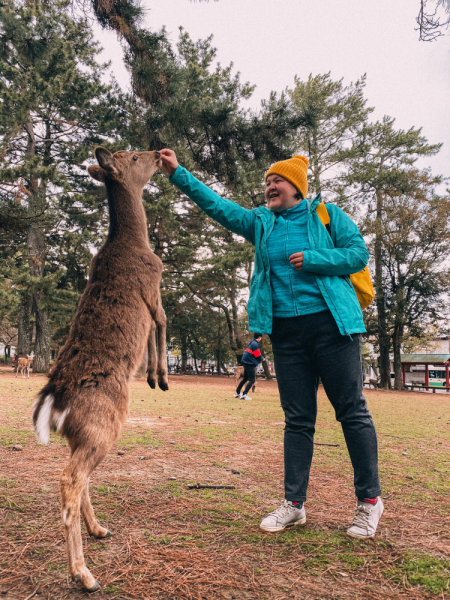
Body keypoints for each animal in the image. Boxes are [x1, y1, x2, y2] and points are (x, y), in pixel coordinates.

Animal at [32, 148, 169, 592]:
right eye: (136, 155)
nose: (158, 153)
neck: (136, 243)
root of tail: (53, 400)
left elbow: (156, 330)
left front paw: (154, 376)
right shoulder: (154, 286)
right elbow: (161, 324)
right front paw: (159, 376)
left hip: (83, 435)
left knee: (82, 477)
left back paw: (99, 529)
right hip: (103, 425)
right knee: (70, 481)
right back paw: (83, 573)